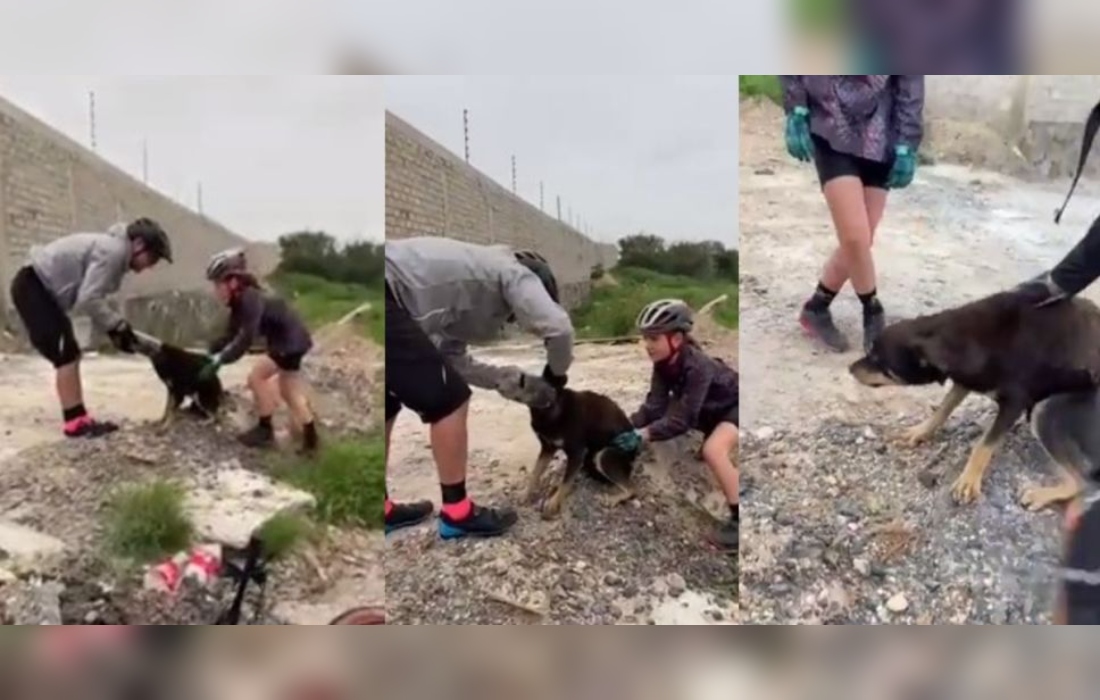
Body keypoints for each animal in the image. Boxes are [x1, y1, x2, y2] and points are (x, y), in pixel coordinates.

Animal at [521, 387, 638, 519]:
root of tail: (635, 451)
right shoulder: (548, 448)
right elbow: (535, 473)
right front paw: (526, 494)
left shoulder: (576, 452)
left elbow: (565, 482)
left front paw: (553, 503)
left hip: (603, 455)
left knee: (632, 488)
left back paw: (612, 499)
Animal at [849, 290, 1100, 508]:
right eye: (870, 352)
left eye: (880, 362)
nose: (850, 369)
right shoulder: (966, 381)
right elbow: (942, 409)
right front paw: (920, 431)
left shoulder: (1014, 403)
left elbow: (983, 445)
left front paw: (968, 481)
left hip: (1045, 408)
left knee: (1082, 482)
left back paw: (1041, 494)